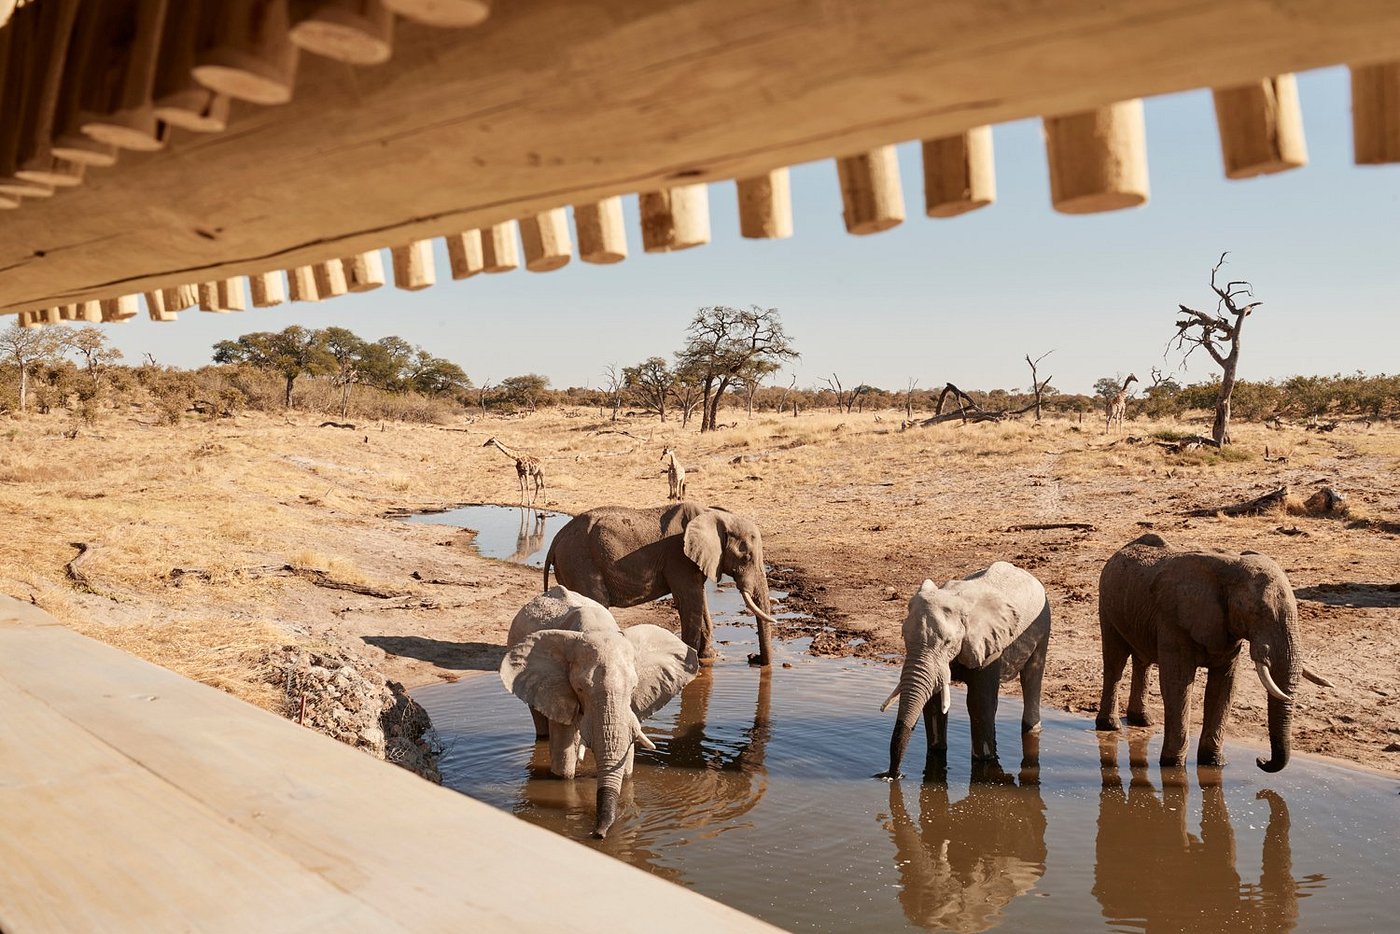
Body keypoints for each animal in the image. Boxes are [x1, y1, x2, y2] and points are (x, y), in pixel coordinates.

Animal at [500, 585, 699, 838]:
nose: (598, 834)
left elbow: (626, 759)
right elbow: (564, 762)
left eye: (633, 687)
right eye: (580, 688)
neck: (596, 629)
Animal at [543, 502, 778, 667]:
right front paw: (691, 662)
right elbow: (690, 601)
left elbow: (700, 601)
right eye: (746, 558)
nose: (754, 658)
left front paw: (707, 658)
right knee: (595, 603)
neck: (713, 514)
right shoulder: (679, 557)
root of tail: (556, 540)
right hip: (579, 561)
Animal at [878, 562, 1051, 777]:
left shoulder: (988, 646)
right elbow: (933, 702)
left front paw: (984, 761)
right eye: (903, 636)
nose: (892, 775)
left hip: (1044, 623)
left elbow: (979, 703)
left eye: (948, 642)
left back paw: (1031, 729)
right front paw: (936, 752)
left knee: (1032, 675)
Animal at [1096, 534, 1334, 771]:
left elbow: (1224, 687)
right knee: (1115, 661)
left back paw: (1142, 721)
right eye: (1258, 612)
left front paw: (1214, 763)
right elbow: (1178, 684)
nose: (1260, 760)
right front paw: (1173, 766)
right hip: (1106, 606)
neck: (1231, 568)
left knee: (1142, 661)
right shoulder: (1173, 620)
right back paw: (1110, 726)